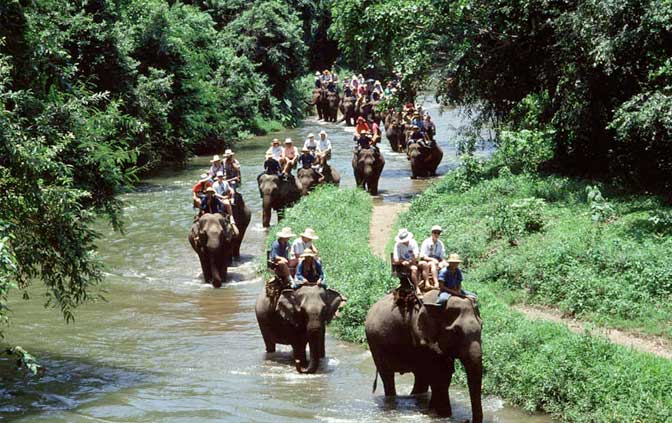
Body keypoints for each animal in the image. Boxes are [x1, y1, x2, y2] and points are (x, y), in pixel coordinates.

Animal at [365, 289, 483, 422]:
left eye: (482, 327)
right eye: (456, 332)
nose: (467, 420)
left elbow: (444, 372)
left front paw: (439, 414)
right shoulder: (420, 335)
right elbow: (438, 373)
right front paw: (441, 415)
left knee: (420, 376)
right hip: (375, 344)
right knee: (387, 376)